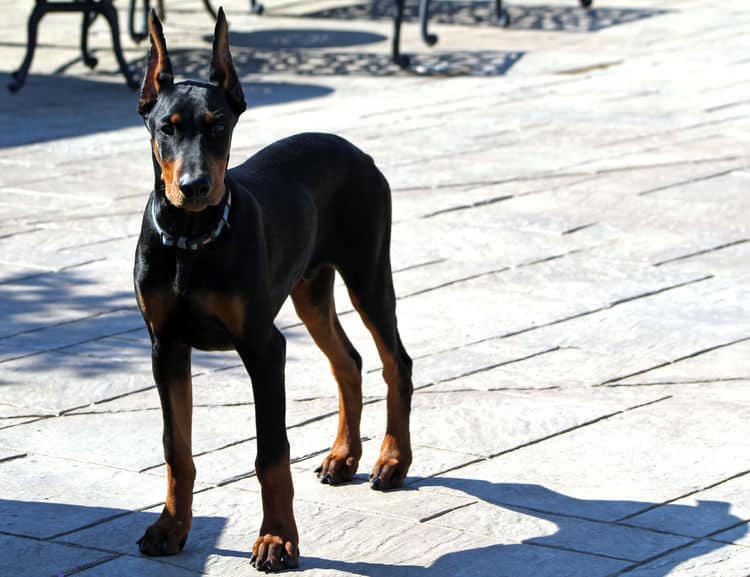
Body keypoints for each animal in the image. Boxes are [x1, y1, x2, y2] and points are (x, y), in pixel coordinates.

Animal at [134, 9, 418, 572]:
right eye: (166, 128)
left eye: (219, 127)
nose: (196, 187)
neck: (191, 241)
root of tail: (354, 148)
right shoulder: (165, 345)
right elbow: (176, 446)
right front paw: (170, 528)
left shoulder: (263, 347)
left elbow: (271, 453)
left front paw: (277, 539)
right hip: (310, 288)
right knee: (348, 360)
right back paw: (343, 457)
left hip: (368, 273)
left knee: (395, 360)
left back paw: (392, 461)